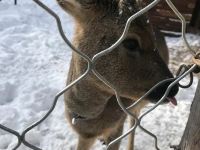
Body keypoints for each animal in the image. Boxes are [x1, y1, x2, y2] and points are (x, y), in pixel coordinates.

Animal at [55, 0, 178, 149]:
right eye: (131, 43)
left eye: (153, 42)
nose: (173, 87)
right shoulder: (83, 135)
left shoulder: (118, 127)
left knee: (134, 120)